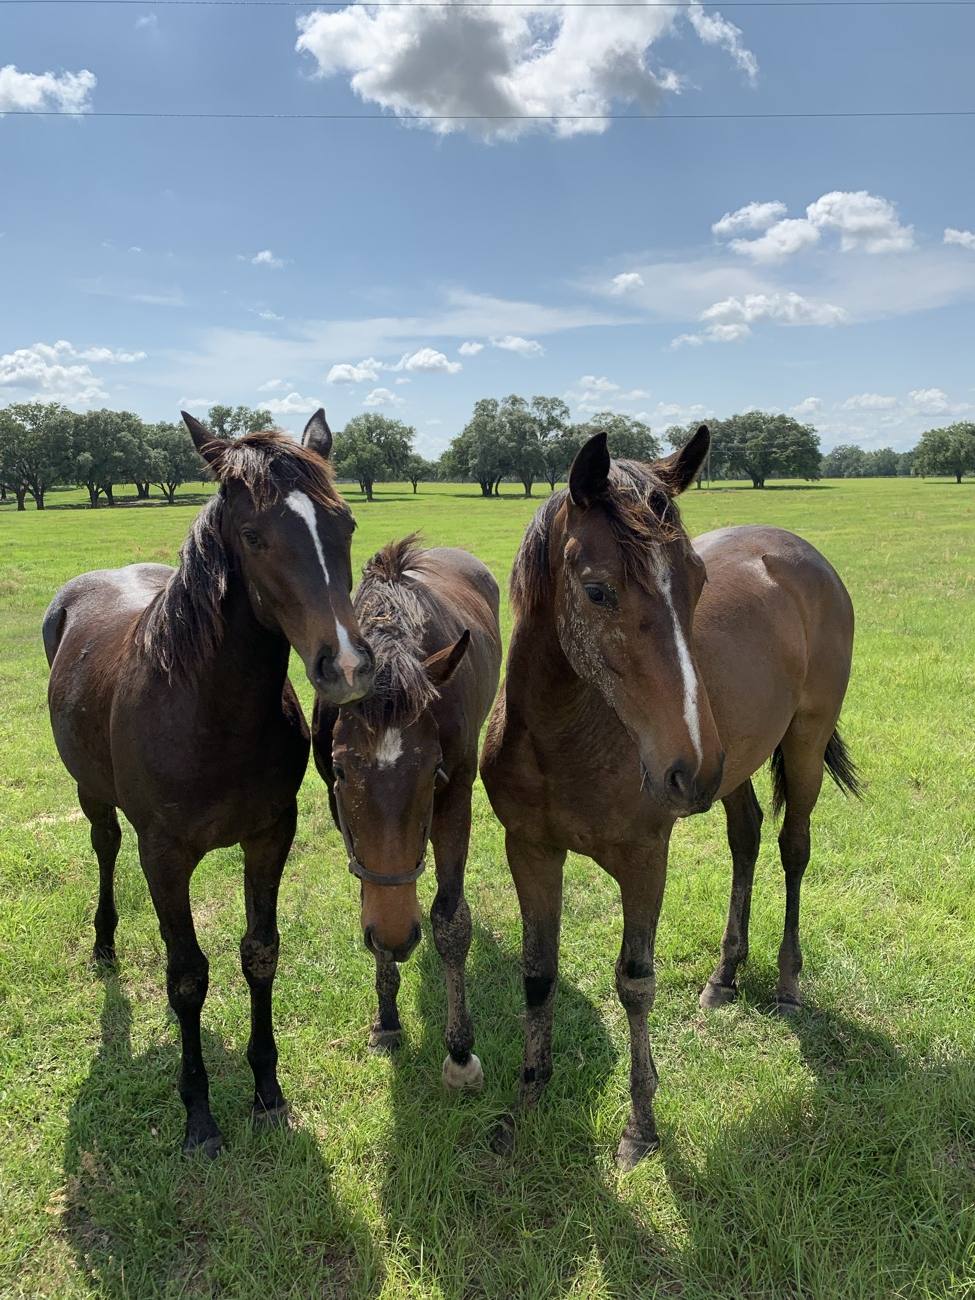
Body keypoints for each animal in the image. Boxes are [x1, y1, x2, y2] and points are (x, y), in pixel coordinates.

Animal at [43, 409, 375, 1157]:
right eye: (253, 535)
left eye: (344, 524)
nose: (345, 665)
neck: (206, 712)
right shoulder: (164, 855)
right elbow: (188, 975)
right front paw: (197, 1114)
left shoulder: (270, 835)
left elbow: (260, 953)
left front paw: (266, 1090)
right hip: (93, 798)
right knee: (104, 848)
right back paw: (104, 943)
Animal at [313, 536, 501, 1088]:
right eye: (340, 769)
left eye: (434, 770)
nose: (399, 936)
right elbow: (371, 904)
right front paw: (388, 1019)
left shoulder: (456, 800)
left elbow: (451, 922)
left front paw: (460, 1051)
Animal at [480, 427, 858, 1168]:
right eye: (597, 591)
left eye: (698, 582)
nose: (691, 767)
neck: (564, 734)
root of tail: (805, 556)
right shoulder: (529, 850)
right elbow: (537, 974)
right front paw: (527, 1099)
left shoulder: (643, 859)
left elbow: (634, 983)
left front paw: (640, 1128)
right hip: (735, 769)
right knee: (745, 838)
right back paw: (725, 975)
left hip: (800, 744)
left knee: (792, 849)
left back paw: (787, 986)